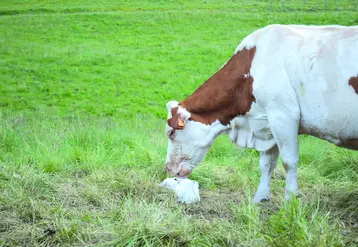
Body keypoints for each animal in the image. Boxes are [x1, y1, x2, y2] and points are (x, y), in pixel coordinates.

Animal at [165, 24, 358, 203]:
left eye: (171, 132)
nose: (167, 168)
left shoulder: (283, 116)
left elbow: (289, 161)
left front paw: (290, 200)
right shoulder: (267, 124)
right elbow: (267, 164)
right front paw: (260, 198)